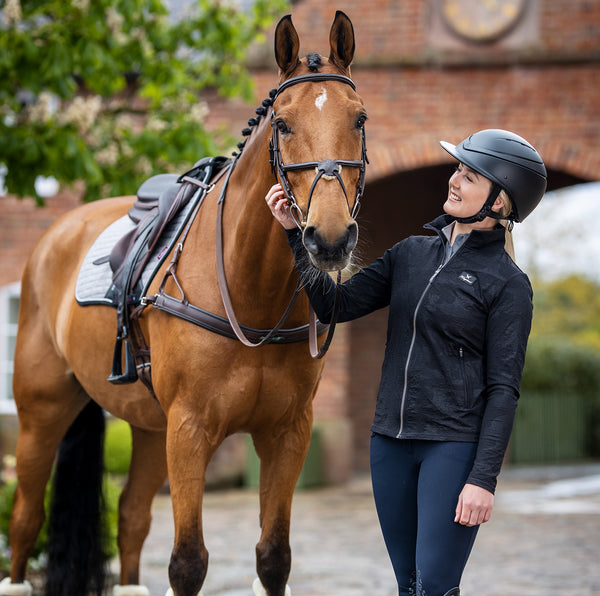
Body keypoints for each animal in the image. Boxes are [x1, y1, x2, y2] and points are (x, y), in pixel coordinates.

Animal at [4, 9, 368, 596]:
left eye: (358, 119)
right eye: (283, 125)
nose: (330, 239)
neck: (250, 292)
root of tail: (56, 236)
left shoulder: (287, 433)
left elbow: (273, 558)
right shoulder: (190, 430)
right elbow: (188, 562)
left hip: (150, 429)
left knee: (131, 518)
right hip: (43, 415)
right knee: (24, 521)